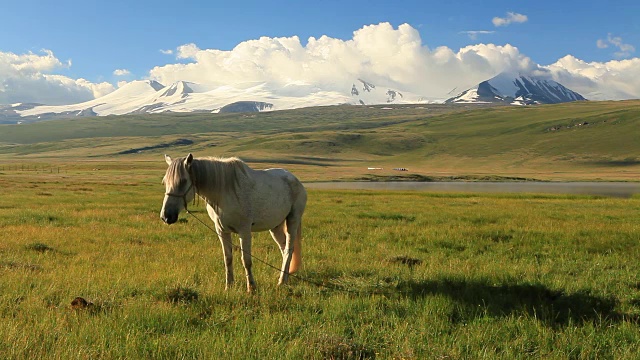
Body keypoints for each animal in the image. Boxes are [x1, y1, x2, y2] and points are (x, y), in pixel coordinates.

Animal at [162, 153, 308, 292]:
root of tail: (295, 180)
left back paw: (282, 281)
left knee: (289, 249)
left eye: (183, 181)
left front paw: (251, 287)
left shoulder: (244, 231)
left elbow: (246, 260)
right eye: (164, 182)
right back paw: (285, 277)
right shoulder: (222, 231)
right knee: (283, 248)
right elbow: (228, 258)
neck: (224, 192)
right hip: (275, 226)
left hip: (293, 220)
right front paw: (229, 286)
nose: (166, 216)